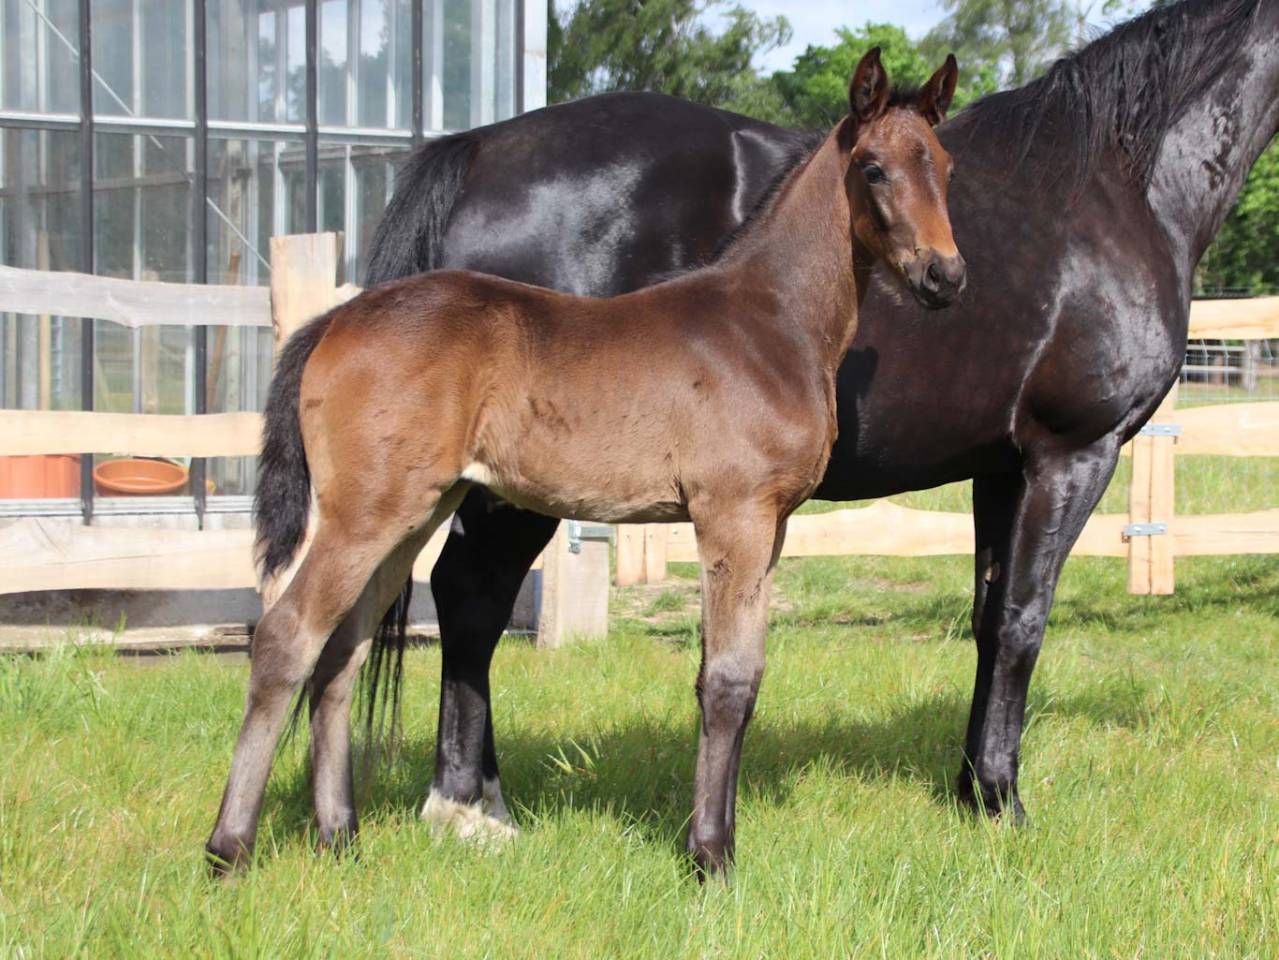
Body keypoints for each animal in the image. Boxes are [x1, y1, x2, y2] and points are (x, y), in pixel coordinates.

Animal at [208, 50, 966, 875]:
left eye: (944, 166)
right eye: (872, 169)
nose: (943, 277)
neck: (766, 321)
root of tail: (333, 319)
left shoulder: (772, 527)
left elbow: (744, 673)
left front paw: (718, 839)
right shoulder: (731, 515)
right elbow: (726, 680)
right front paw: (709, 855)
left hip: (412, 513)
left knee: (341, 649)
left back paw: (339, 835)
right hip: (365, 514)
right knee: (287, 638)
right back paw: (228, 847)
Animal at [355, 0, 1279, 837]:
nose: (946, 276)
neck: (1118, 182)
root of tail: (479, 148)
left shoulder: (1000, 464)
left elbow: (987, 620)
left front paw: (966, 790)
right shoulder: (1072, 452)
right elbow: (1022, 623)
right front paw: (1001, 802)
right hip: (514, 488)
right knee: (471, 596)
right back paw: (469, 807)